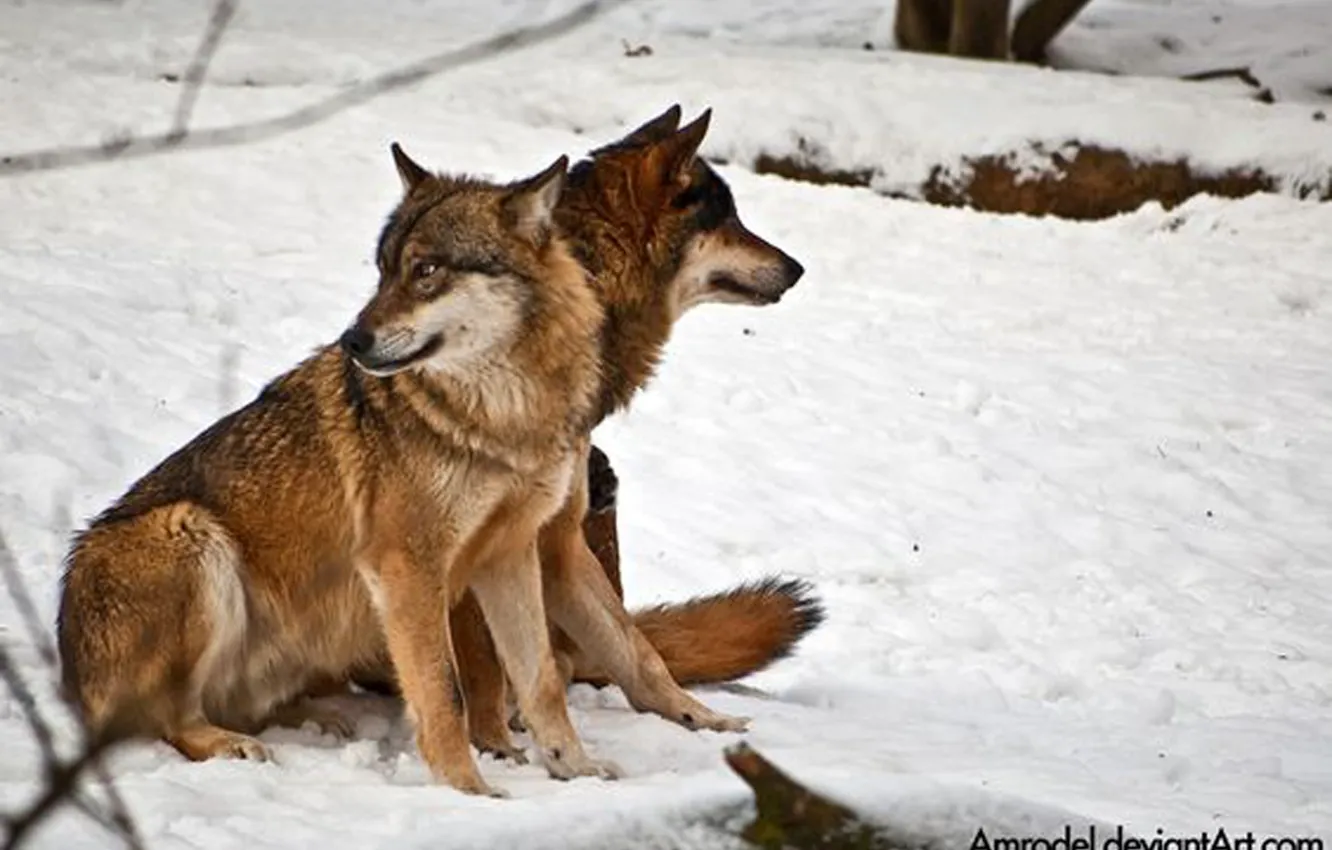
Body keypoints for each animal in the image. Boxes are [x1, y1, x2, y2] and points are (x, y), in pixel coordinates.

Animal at [58, 153, 619, 796]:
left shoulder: (508, 555)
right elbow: (445, 693)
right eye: (382, 271)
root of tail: (69, 677)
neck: (501, 417)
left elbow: (542, 681)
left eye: (425, 270)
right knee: (174, 720)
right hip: (191, 533)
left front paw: (575, 769)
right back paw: (231, 745)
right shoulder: (406, 569)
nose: (353, 340)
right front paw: (469, 790)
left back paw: (318, 720)